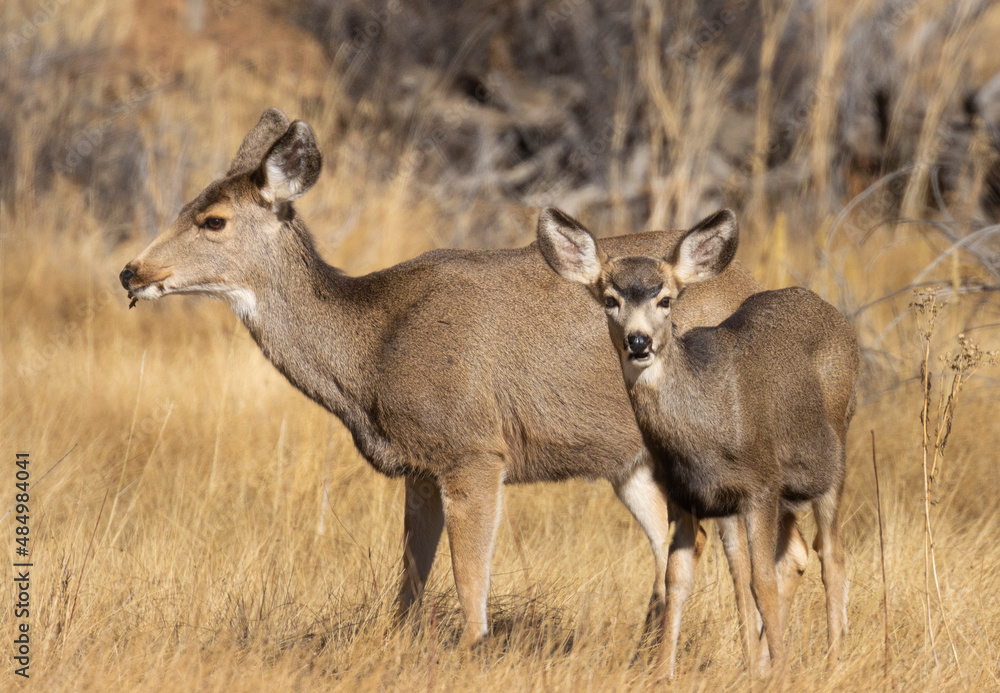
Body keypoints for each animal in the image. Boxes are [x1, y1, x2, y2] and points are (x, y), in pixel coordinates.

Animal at [119, 108, 809, 649]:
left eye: (213, 219)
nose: (131, 271)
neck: (371, 347)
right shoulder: (420, 467)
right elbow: (409, 586)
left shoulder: (473, 448)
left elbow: (471, 588)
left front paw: (472, 652)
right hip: (633, 464)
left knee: (761, 555)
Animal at [536, 206, 859, 678]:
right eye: (610, 299)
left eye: (666, 299)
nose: (638, 341)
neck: (701, 433)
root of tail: (832, 314)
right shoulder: (685, 496)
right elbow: (677, 579)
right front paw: (661, 673)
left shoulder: (761, 486)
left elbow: (760, 581)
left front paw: (781, 673)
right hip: (777, 499)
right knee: (795, 556)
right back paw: (761, 663)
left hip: (833, 461)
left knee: (831, 557)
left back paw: (833, 660)